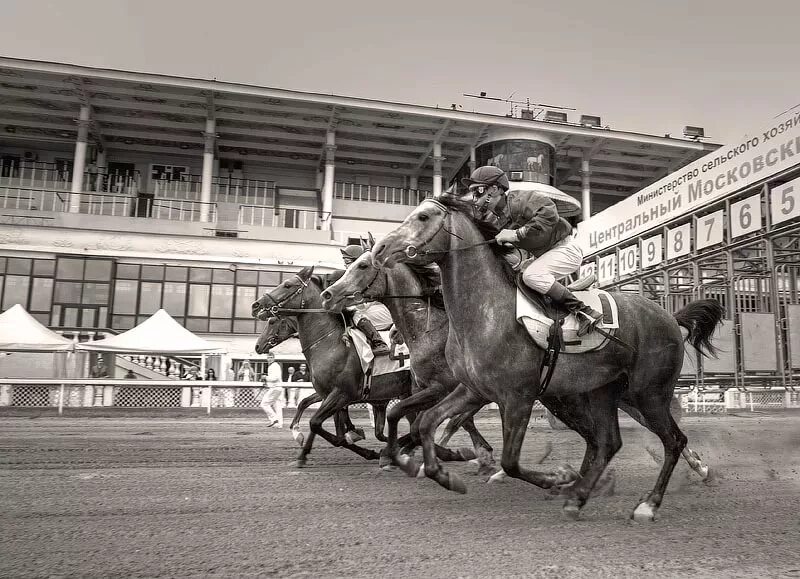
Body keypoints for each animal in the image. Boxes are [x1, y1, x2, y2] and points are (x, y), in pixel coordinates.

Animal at [318, 250, 494, 476]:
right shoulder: (421, 389)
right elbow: (414, 425)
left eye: (363, 265)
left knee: (460, 420)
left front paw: (392, 453)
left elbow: (411, 421)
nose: (327, 295)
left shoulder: (440, 388)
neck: (429, 331)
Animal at [372, 197, 720, 524]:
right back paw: (578, 496)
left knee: (672, 440)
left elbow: (510, 461)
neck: (487, 312)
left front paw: (557, 477)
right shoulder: (472, 390)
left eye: (423, 216)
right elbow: (427, 422)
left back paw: (648, 503)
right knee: (608, 443)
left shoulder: (518, 397)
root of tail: (670, 316)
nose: (380, 249)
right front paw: (441, 474)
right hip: (602, 392)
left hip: (649, 393)